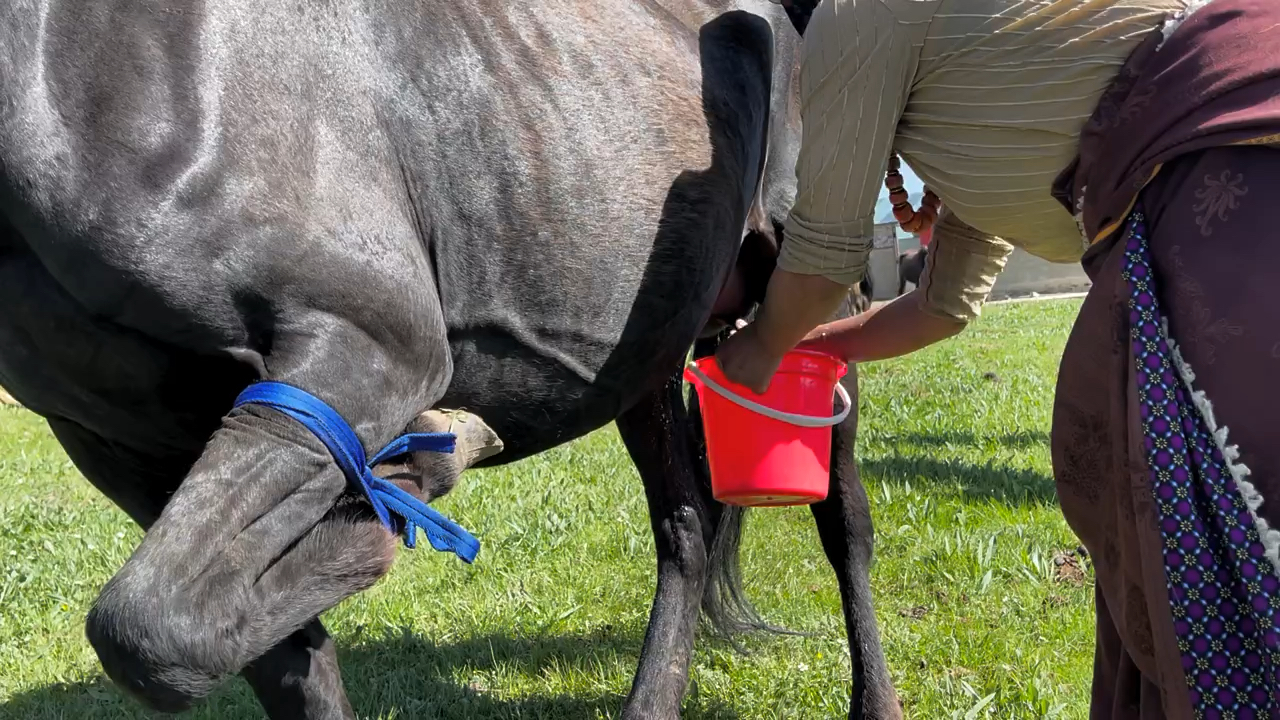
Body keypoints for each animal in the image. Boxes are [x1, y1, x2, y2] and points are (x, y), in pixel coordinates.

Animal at [0, 0, 896, 712]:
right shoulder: (120, 442)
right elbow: (235, 644)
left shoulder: (372, 345)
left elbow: (151, 627)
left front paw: (417, 470)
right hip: (644, 359)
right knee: (685, 532)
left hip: (822, 320)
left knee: (844, 526)